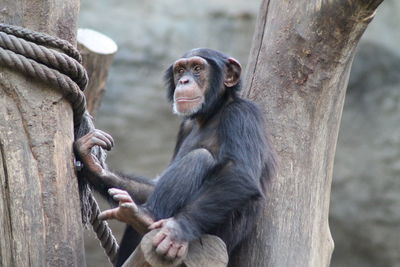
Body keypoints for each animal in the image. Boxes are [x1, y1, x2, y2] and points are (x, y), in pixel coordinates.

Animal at [74, 48, 276, 267]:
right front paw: (92, 164)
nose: (184, 81)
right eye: (180, 70)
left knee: (200, 157)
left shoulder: (243, 114)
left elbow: (238, 171)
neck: (212, 113)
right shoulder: (184, 127)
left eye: (197, 68)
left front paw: (176, 230)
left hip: (219, 235)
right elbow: (154, 186)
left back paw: (145, 216)